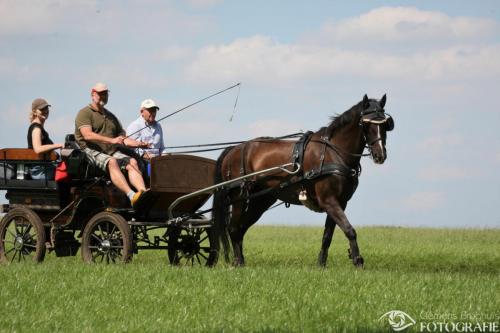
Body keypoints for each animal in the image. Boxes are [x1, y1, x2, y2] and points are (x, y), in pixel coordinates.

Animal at [211, 94, 394, 268]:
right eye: (366, 124)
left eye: (386, 124)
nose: (380, 155)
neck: (333, 152)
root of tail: (234, 149)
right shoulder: (329, 201)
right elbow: (349, 230)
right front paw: (357, 260)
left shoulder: (340, 202)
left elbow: (327, 236)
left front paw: (321, 264)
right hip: (239, 197)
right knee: (234, 228)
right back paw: (237, 262)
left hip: (261, 200)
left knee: (241, 229)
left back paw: (241, 261)